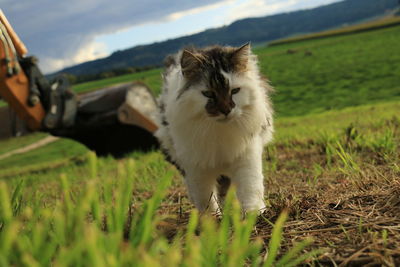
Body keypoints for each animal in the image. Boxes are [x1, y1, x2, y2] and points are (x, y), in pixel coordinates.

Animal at [155, 44, 274, 216]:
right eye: (208, 94)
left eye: (235, 91)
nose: (226, 110)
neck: (219, 131)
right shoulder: (196, 168)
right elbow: (206, 198)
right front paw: (210, 219)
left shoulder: (246, 156)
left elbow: (250, 188)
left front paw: (254, 214)